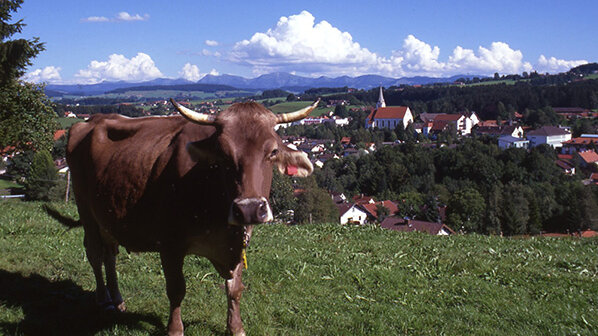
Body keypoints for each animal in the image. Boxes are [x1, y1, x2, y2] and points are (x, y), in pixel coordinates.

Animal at [65, 99, 318, 336]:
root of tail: (90, 120)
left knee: (110, 254)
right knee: (95, 253)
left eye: (273, 152)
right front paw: (175, 329)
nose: (249, 208)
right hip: (86, 210)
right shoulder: (170, 243)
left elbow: (235, 288)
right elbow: (176, 289)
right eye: (222, 153)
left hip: (108, 216)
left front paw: (236, 327)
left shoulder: (238, 243)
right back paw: (104, 299)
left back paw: (117, 299)